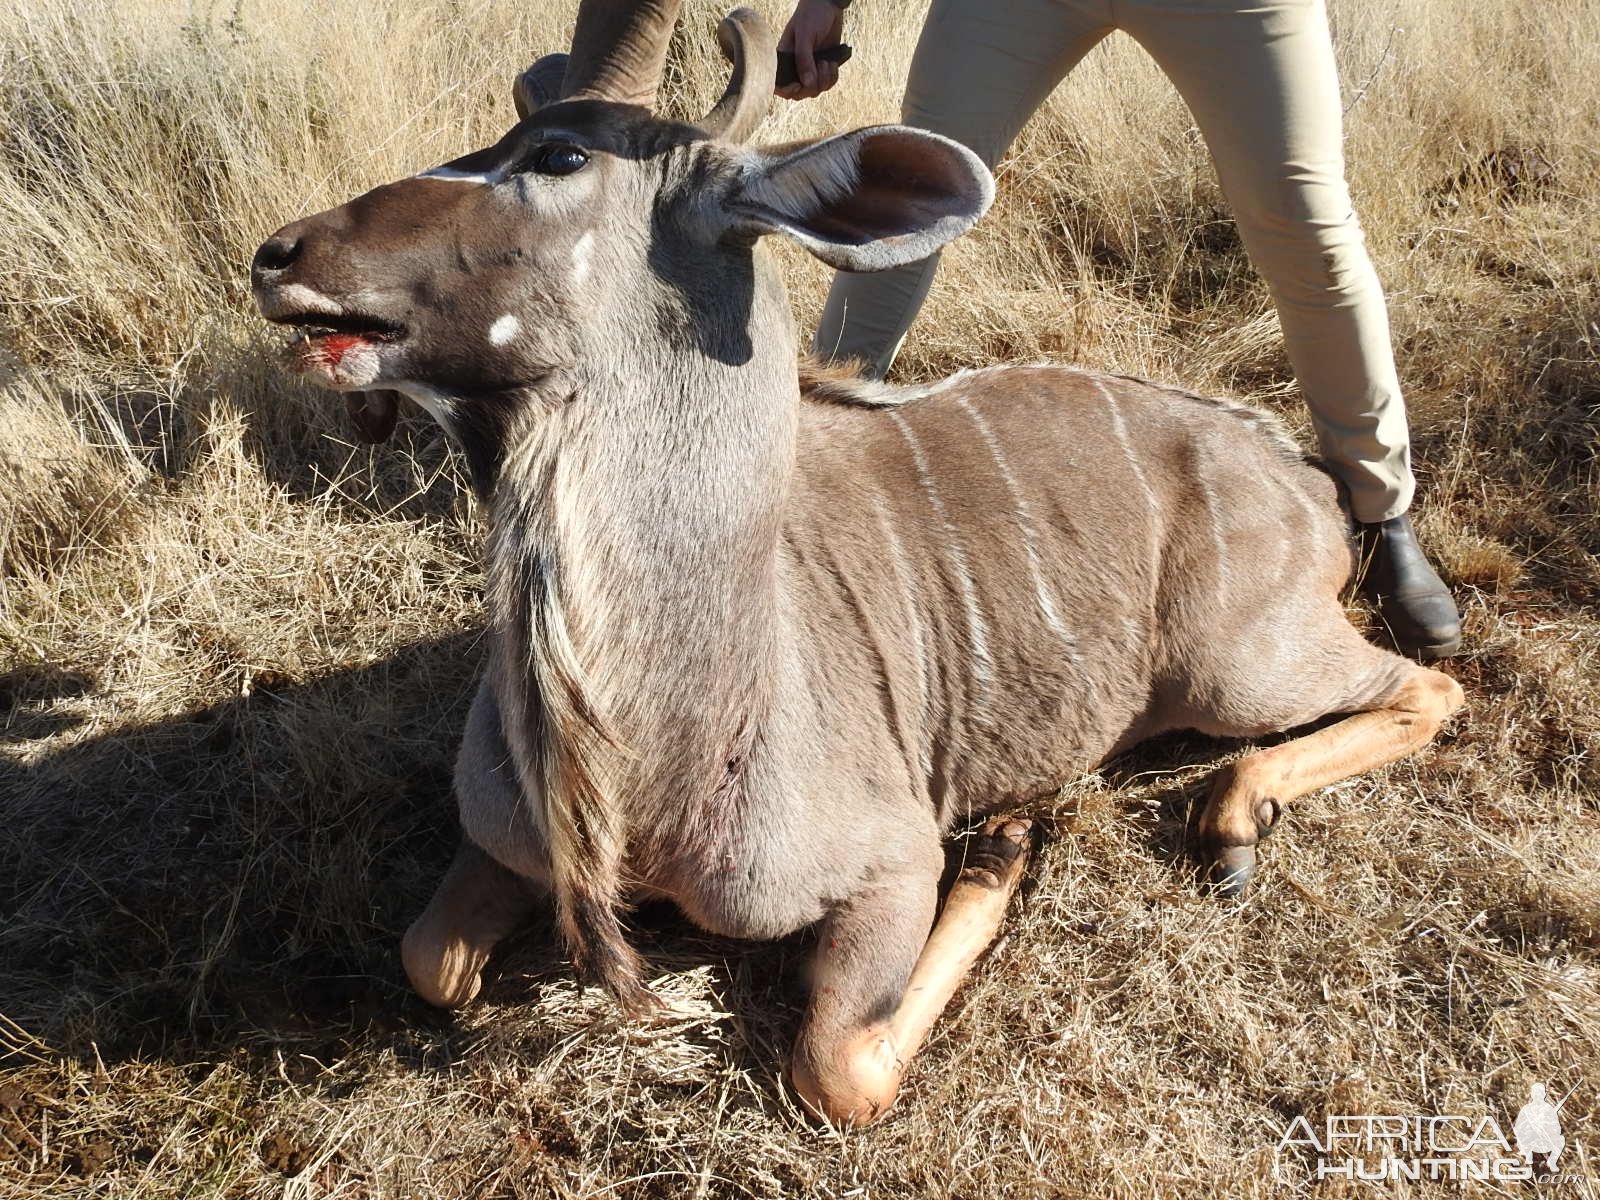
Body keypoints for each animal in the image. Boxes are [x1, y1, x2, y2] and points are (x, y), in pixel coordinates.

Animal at [249, 0, 1465, 1126]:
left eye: (556, 157)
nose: (279, 255)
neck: (656, 764)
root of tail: (1304, 479)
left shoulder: (888, 873)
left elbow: (839, 1068)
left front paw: (1003, 844)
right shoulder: (501, 846)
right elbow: (432, 964)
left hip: (1236, 671)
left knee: (1425, 688)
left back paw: (1231, 818)